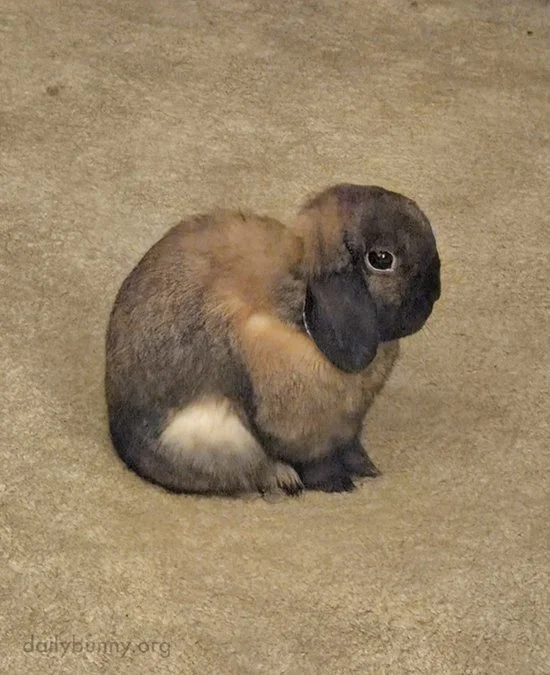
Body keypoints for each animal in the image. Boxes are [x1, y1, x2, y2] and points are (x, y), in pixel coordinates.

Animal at [105, 183, 441, 496]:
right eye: (381, 259)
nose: (434, 294)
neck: (296, 300)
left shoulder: (349, 428)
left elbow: (350, 447)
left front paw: (368, 469)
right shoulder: (302, 429)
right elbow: (317, 461)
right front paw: (339, 484)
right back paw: (284, 478)